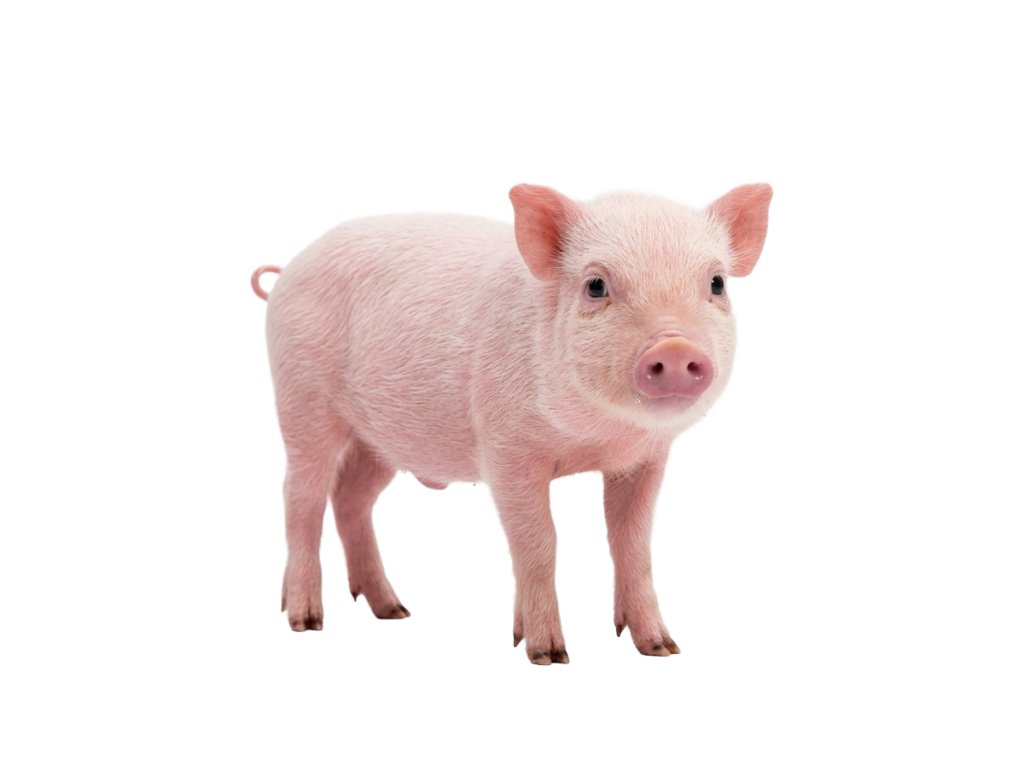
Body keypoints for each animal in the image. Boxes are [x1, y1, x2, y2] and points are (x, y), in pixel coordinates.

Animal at [248, 180, 773, 665]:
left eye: (717, 283)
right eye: (596, 285)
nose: (675, 347)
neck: (597, 435)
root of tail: (289, 270)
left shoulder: (647, 457)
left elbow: (633, 541)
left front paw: (662, 649)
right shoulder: (507, 449)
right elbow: (538, 542)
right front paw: (547, 654)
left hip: (380, 439)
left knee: (350, 498)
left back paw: (394, 612)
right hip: (301, 401)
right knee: (301, 498)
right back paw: (306, 620)